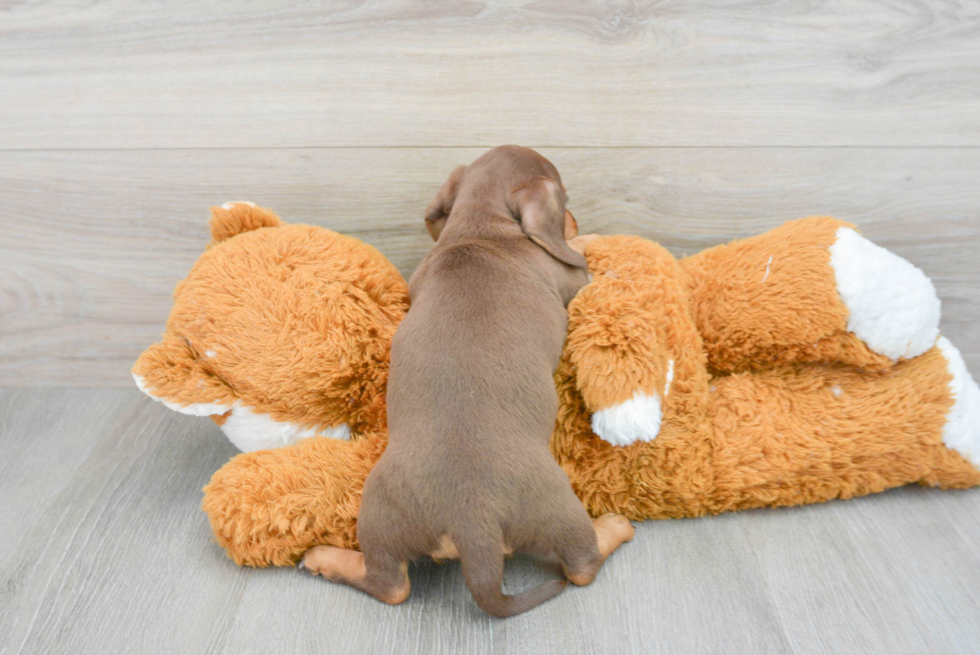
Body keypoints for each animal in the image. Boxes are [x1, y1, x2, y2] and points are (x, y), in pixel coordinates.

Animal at [300, 146, 636, 616]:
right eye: (565, 198)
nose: (574, 220)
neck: (479, 230)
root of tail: (471, 523)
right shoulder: (573, 279)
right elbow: (579, 258)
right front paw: (584, 239)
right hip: (558, 507)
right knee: (582, 566)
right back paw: (614, 526)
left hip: (381, 509)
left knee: (390, 585)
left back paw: (324, 558)